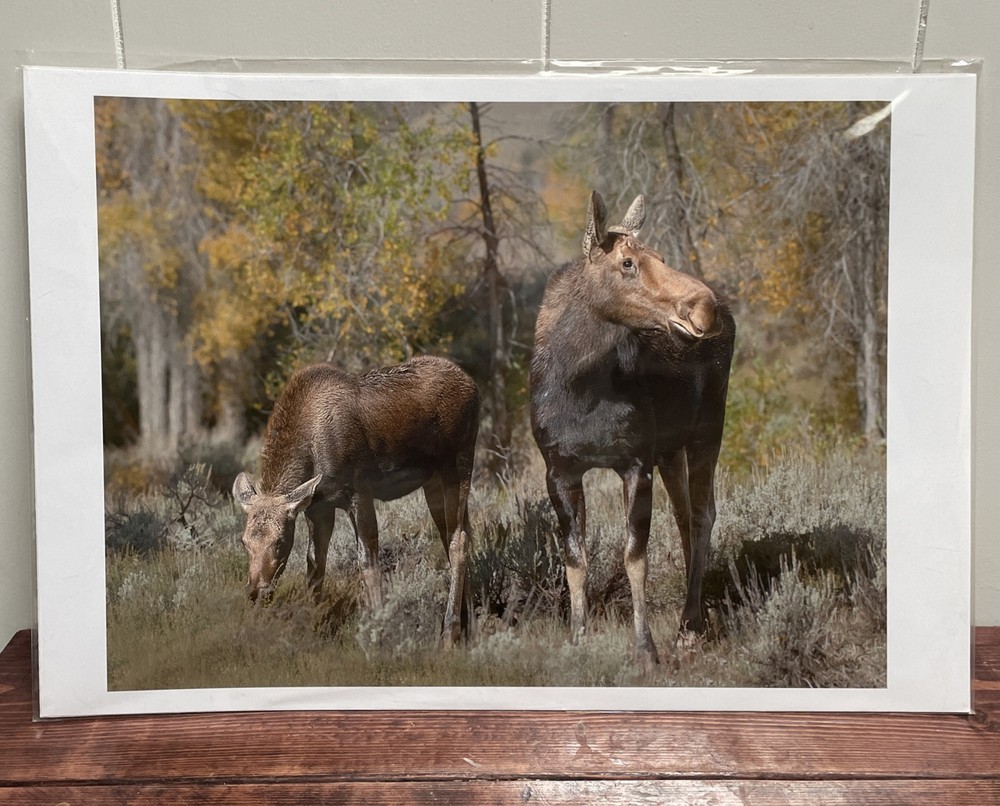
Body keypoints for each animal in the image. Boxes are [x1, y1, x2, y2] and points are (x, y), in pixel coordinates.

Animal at [233, 355, 480, 645]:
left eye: (280, 541)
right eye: (243, 541)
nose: (256, 590)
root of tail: (474, 387)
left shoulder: (359, 492)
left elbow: (367, 561)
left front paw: (380, 631)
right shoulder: (318, 507)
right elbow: (315, 564)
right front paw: (313, 626)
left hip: (458, 464)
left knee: (458, 540)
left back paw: (450, 632)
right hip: (433, 481)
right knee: (457, 534)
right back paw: (471, 625)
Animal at [530, 191, 735, 669]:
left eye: (659, 256)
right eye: (627, 263)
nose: (705, 307)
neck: (579, 384)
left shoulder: (635, 463)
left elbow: (633, 557)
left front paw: (645, 650)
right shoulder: (559, 470)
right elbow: (576, 561)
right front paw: (577, 640)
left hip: (708, 429)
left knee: (703, 514)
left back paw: (688, 627)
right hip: (671, 449)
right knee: (684, 515)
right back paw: (694, 615)